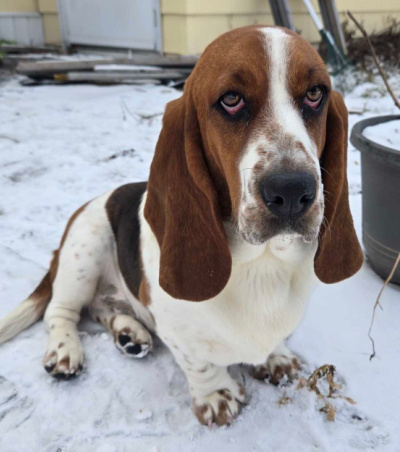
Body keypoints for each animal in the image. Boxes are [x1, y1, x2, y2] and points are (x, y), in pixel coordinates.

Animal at [0, 26, 363, 426]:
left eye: (315, 94)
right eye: (231, 99)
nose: (293, 190)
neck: (261, 263)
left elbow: (275, 341)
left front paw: (276, 356)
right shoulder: (174, 326)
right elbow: (197, 362)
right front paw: (217, 395)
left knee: (102, 308)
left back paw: (130, 334)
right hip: (84, 253)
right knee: (60, 312)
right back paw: (66, 351)